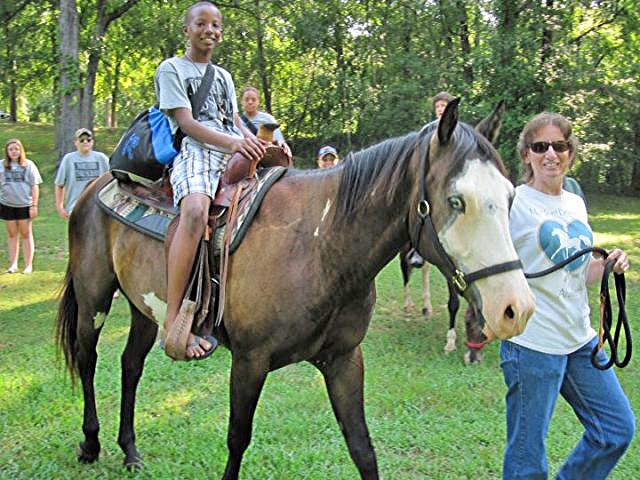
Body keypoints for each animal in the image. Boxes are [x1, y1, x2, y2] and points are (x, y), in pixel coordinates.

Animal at [398, 101, 508, 364]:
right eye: (456, 201)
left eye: (510, 195)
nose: (475, 356)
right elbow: (453, 302)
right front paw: (450, 341)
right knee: (406, 272)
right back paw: (409, 305)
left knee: (423, 271)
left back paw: (426, 307)